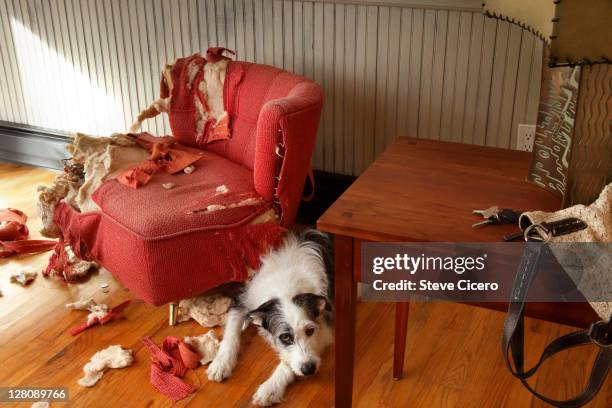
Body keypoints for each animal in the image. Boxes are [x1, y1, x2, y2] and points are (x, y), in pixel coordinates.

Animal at [207, 230, 334, 404]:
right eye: (285, 337)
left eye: (310, 331)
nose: (309, 369)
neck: (286, 290)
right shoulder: (242, 302)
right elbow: (231, 335)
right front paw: (221, 363)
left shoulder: (325, 329)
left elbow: (288, 363)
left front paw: (271, 387)